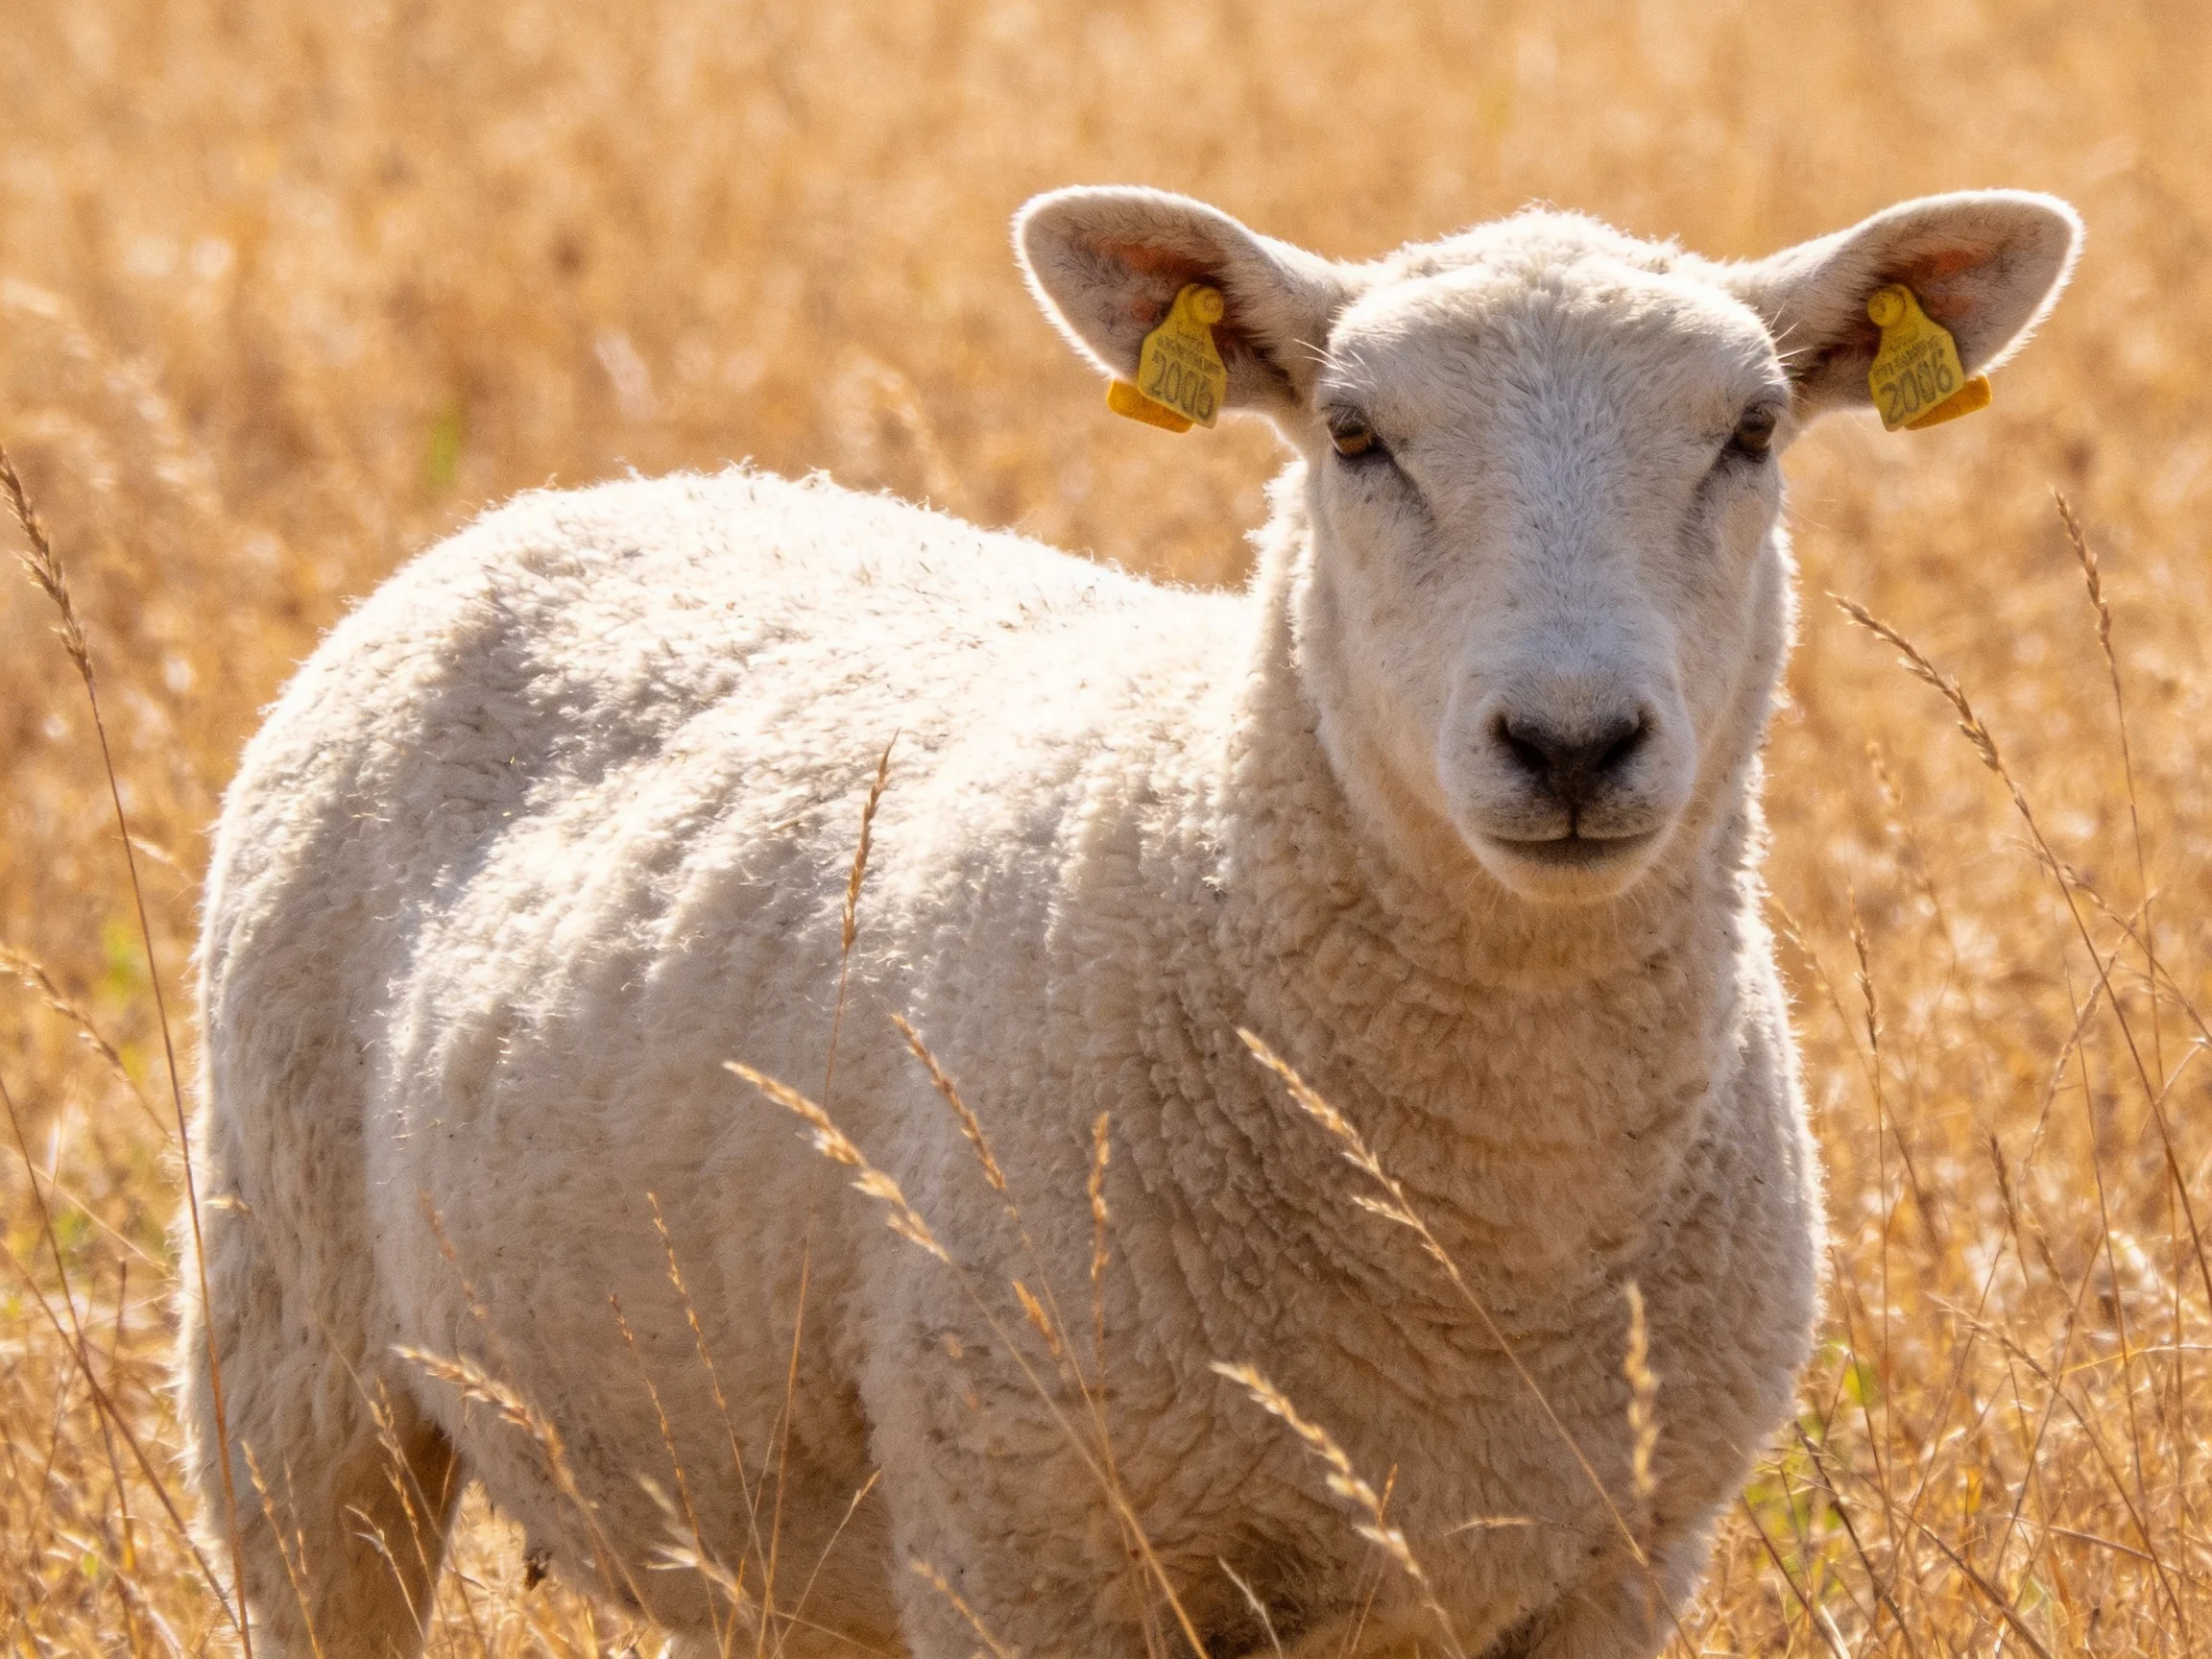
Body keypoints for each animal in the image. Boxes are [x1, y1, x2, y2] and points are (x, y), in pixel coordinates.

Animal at [178, 183, 2078, 1659]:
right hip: (293, 1358)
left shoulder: (1608, 1562)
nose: (1568, 741)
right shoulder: (1033, 1542)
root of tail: (599, 491)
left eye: (1750, 433)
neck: (1480, 1231)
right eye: (1353, 435)